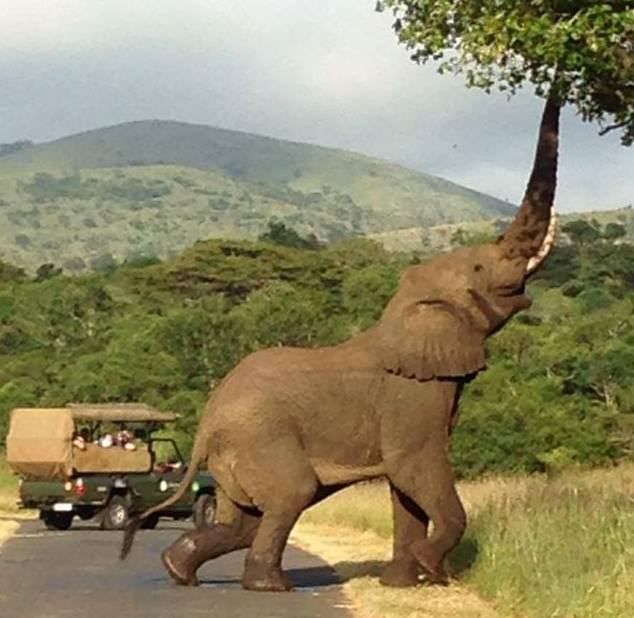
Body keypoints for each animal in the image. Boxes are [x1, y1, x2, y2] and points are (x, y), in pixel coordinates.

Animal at [122, 88, 556, 592]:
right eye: (482, 268)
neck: (403, 309)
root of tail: (205, 426)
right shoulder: (412, 393)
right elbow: (413, 467)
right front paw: (430, 569)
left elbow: (404, 487)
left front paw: (402, 583)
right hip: (260, 438)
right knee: (289, 495)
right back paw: (271, 586)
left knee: (242, 521)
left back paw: (179, 571)